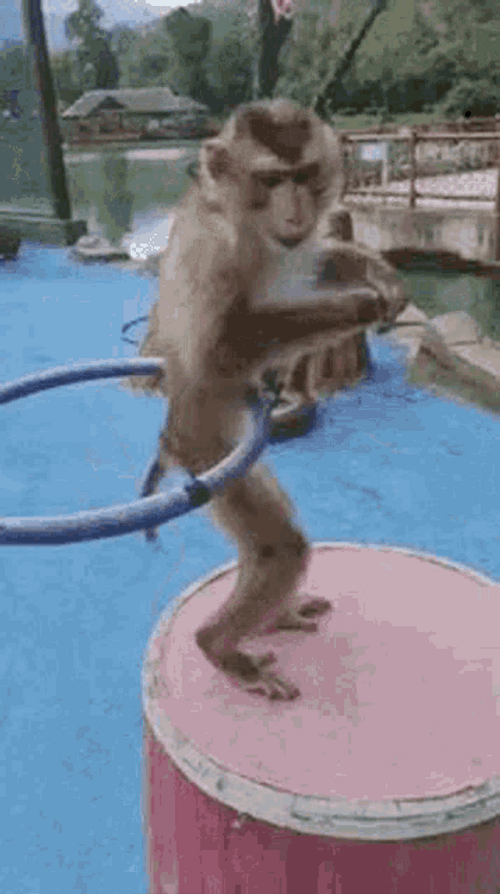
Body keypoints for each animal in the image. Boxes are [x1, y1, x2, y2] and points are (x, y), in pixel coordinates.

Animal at [129, 99, 407, 701]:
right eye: (271, 180)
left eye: (302, 175)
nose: (295, 209)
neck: (250, 224)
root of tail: (172, 429)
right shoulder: (216, 248)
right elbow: (221, 345)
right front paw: (361, 302)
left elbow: (315, 259)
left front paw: (374, 268)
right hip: (208, 451)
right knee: (280, 547)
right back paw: (219, 647)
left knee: (283, 541)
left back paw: (276, 616)